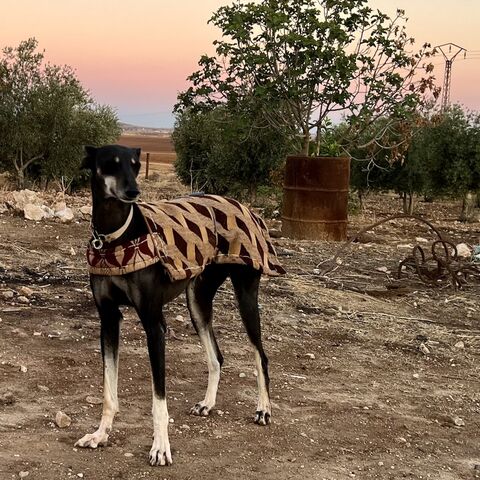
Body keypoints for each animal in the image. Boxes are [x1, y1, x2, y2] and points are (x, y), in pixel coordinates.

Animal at [77, 145, 276, 464]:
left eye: (135, 165)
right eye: (111, 164)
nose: (133, 191)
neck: (115, 237)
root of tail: (246, 208)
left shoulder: (154, 324)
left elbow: (159, 399)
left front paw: (160, 447)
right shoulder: (107, 320)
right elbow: (109, 391)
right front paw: (100, 435)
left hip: (246, 295)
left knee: (261, 356)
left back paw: (263, 409)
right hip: (197, 300)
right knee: (216, 356)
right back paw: (207, 404)